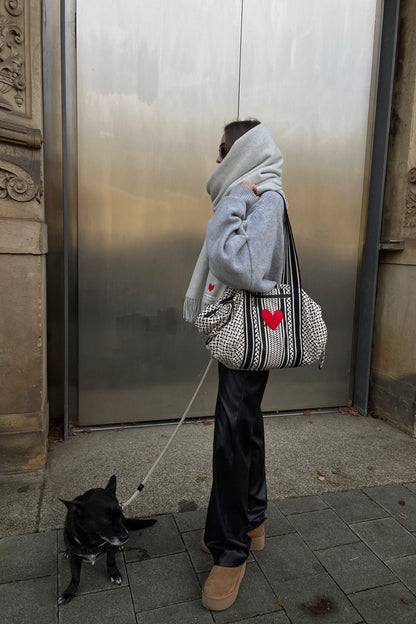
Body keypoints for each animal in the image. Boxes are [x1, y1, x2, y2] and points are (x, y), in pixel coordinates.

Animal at [58, 472, 154, 604]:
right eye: (107, 521)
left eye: (120, 516)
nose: (126, 536)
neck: (92, 541)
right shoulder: (74, 559)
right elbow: (75, 576)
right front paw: (69, 592)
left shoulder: (110, 548)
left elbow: (111, 561)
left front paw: (114, 574)